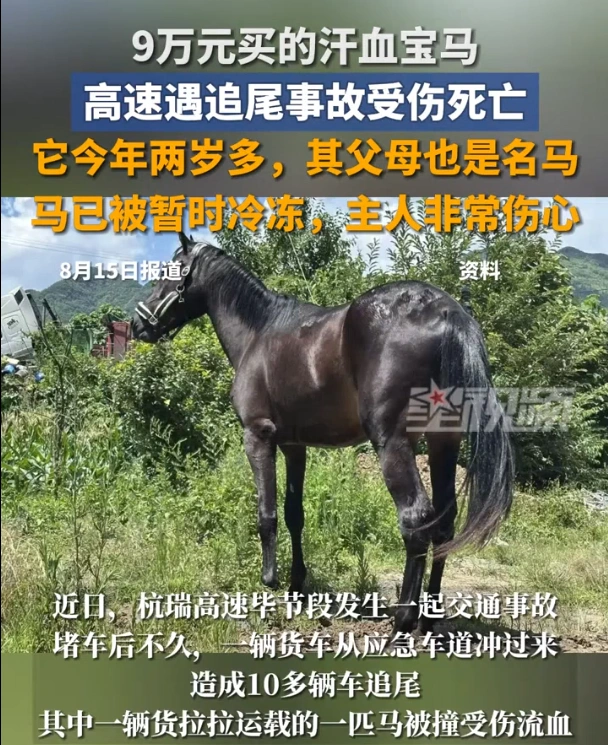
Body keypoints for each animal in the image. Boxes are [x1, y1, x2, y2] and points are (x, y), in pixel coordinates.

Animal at [131, 232, 514, 635]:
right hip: (444, 443)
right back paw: (429, 615)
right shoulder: (294, 447)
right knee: (444, 522)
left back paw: (403, 618)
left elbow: (266, 513)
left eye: (170, 270)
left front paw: (269, 580)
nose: (139, 324)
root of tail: (445, 309)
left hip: (394, 444)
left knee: (415, 520)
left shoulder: (257, 437)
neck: (258, 333)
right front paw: (296, 584)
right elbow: (293, 513)